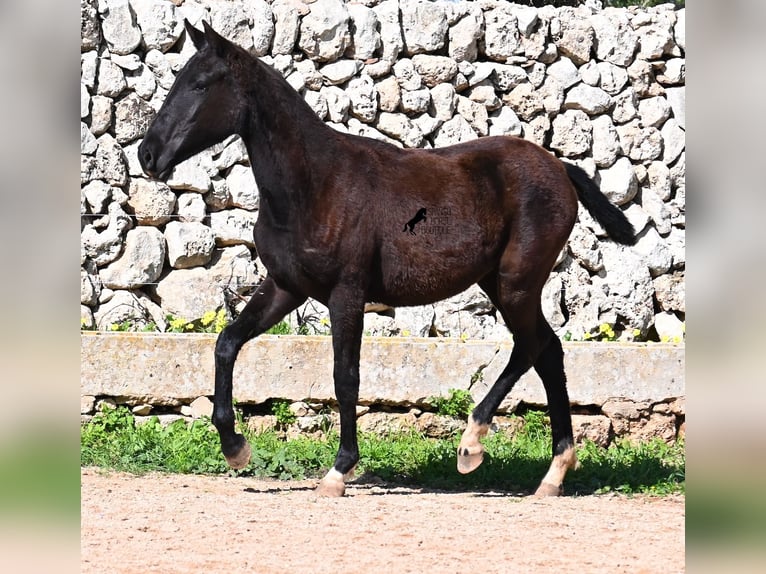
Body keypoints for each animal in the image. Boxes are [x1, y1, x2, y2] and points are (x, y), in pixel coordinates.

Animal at [138, 21, 636, 500]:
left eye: (201, 84)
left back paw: (472, 445)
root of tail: (559, 168)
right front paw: (236, 448)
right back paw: (552, 475)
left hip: (517, 282)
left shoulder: (346, 293)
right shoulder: (286, 287)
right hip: (497, 282)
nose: (147, 154)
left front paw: (337, 472)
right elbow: (227, 343)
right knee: (547, 351)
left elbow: (345, 377)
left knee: (531, 347)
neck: (314, 186)